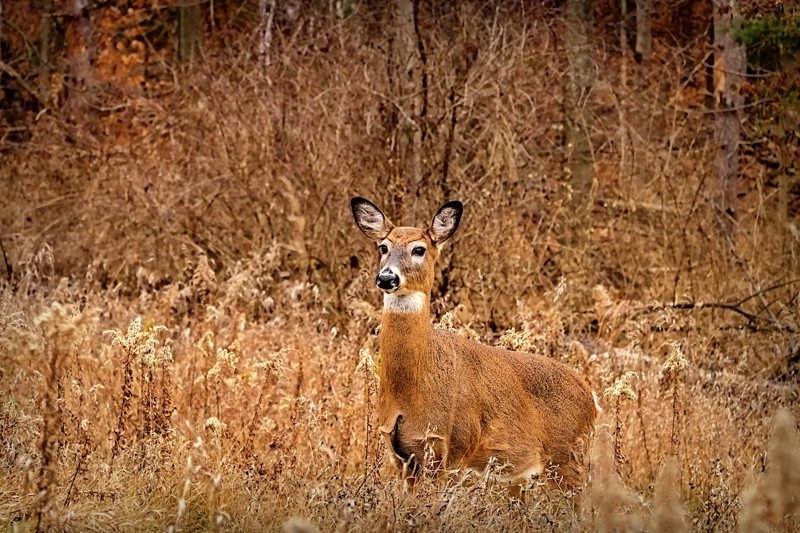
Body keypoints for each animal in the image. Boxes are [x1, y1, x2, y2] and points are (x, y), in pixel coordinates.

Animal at [350, 197, 600, 490]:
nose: (387, 278)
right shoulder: (402, 457)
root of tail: (592, 397)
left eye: (419, 249)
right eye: (383, 247)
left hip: (568, 457)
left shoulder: (456, 448)